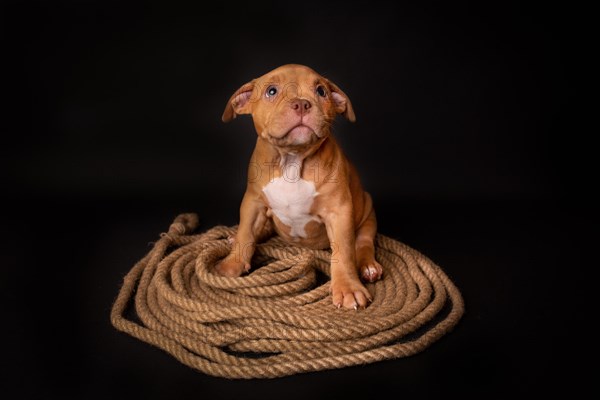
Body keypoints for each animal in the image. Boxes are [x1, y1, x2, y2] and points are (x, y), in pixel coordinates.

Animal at [218, 63, 382, 310]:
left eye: (321, 91)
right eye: (271, 91)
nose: (302, 103)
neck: (292, 160)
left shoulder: (339, 211)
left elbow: (343, 252)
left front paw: (348, 288)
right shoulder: (253, 202)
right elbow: (246, 232)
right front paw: (232, 265)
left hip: (367, 210)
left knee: (363, 242)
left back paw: (368, 266)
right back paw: (234, 236)